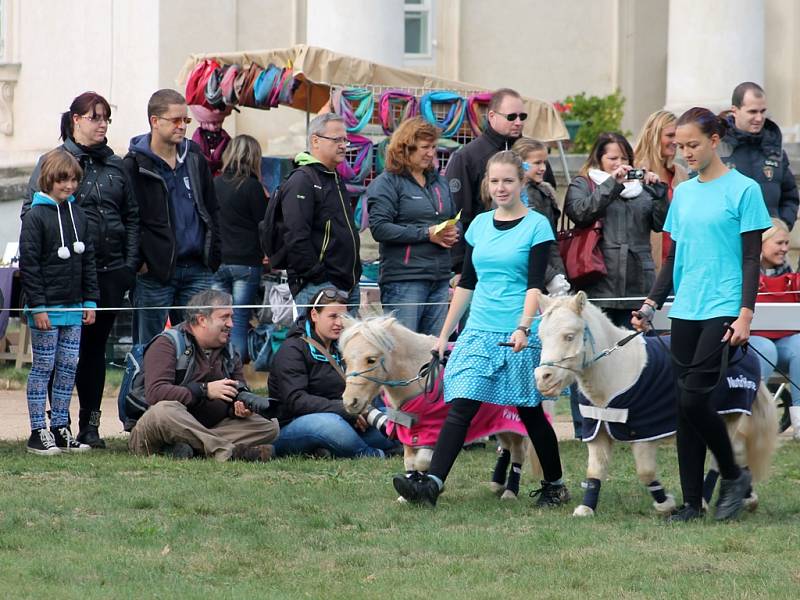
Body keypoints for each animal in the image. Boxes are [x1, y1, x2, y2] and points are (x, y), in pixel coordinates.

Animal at [338, 316, 536, 500]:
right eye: (345, 359)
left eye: (371, 360)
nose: (350, 402)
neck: (421, 377)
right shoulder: (408, 431)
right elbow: (410, 462)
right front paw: (407, 493)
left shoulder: (434, 431)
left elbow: (422, 461)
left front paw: (428, 487)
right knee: (506, 446)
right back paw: (497, 484)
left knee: (517, 451)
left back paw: (510, 492)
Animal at [532, 290, 776, 516]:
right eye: (541, 336)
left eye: (569, 336)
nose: (543, 378)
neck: (616, 373)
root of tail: (746, 349)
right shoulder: (596, 429)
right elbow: (595, 470)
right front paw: (586, 508)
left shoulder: (643, 433)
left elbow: (645, 471)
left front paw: (665, 504)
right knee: (735, 451)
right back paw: (745, 497)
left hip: (728, 416)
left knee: (722, 455)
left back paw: (710, 501)